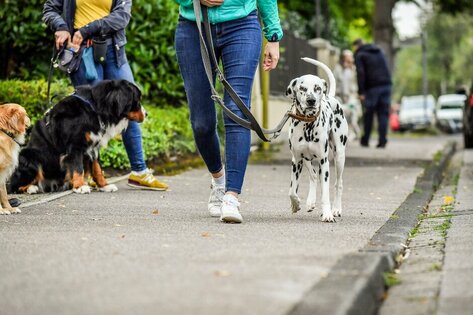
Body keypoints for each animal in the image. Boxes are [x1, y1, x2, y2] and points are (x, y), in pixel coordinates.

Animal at [8, 80, 145, 194]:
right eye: (137, 101)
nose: (147, 114)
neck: (94, 108)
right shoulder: (75, 145)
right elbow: (78, 168)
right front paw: (80, 186)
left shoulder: (93, 146)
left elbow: (97, 168)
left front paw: (104, 185)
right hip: (30, 156)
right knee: (14, 186)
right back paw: (32, 188)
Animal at [284, 57, 346, 225]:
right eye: (302, 88)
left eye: (317, 88)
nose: (311, 101)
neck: (307, 125)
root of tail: (330, 96)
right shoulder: (296, 160)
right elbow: (292, 190)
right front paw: (295, 204)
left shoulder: (324, 162)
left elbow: (325, 192)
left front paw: (327, 214)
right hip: (306, 160)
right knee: (313, 176)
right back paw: (311, 202)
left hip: (339, 156)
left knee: (338, 184)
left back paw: (336, 209)